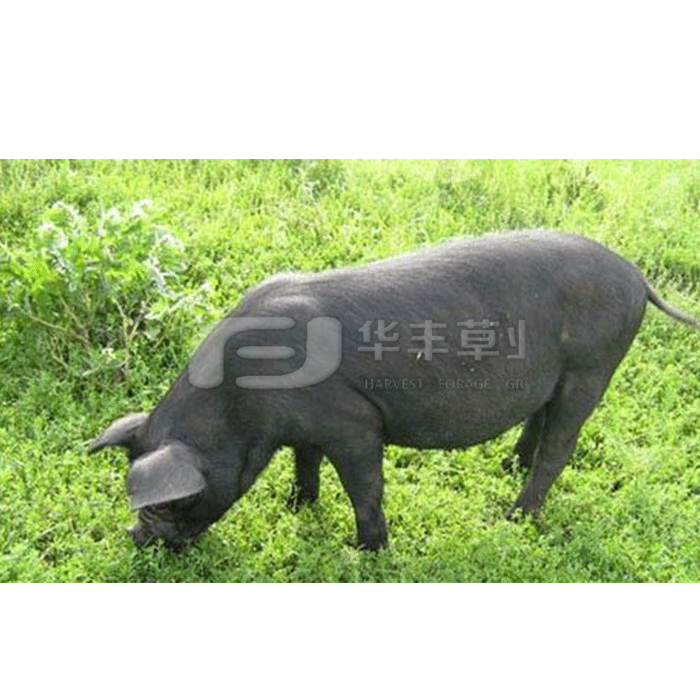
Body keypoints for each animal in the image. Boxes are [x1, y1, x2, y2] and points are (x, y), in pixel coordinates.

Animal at [89, 230, 698, 551]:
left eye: (175, 500)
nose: (134, 534)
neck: (242, 407)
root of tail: (635, 276)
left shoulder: (355, 424)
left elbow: (364, 487)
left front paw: (367, 550)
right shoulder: (305, 427)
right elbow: (305, 461)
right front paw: (296, 505)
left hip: (594, 364)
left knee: (560, 446)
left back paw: (514, 517)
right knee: (539, 418)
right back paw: (508, 467)